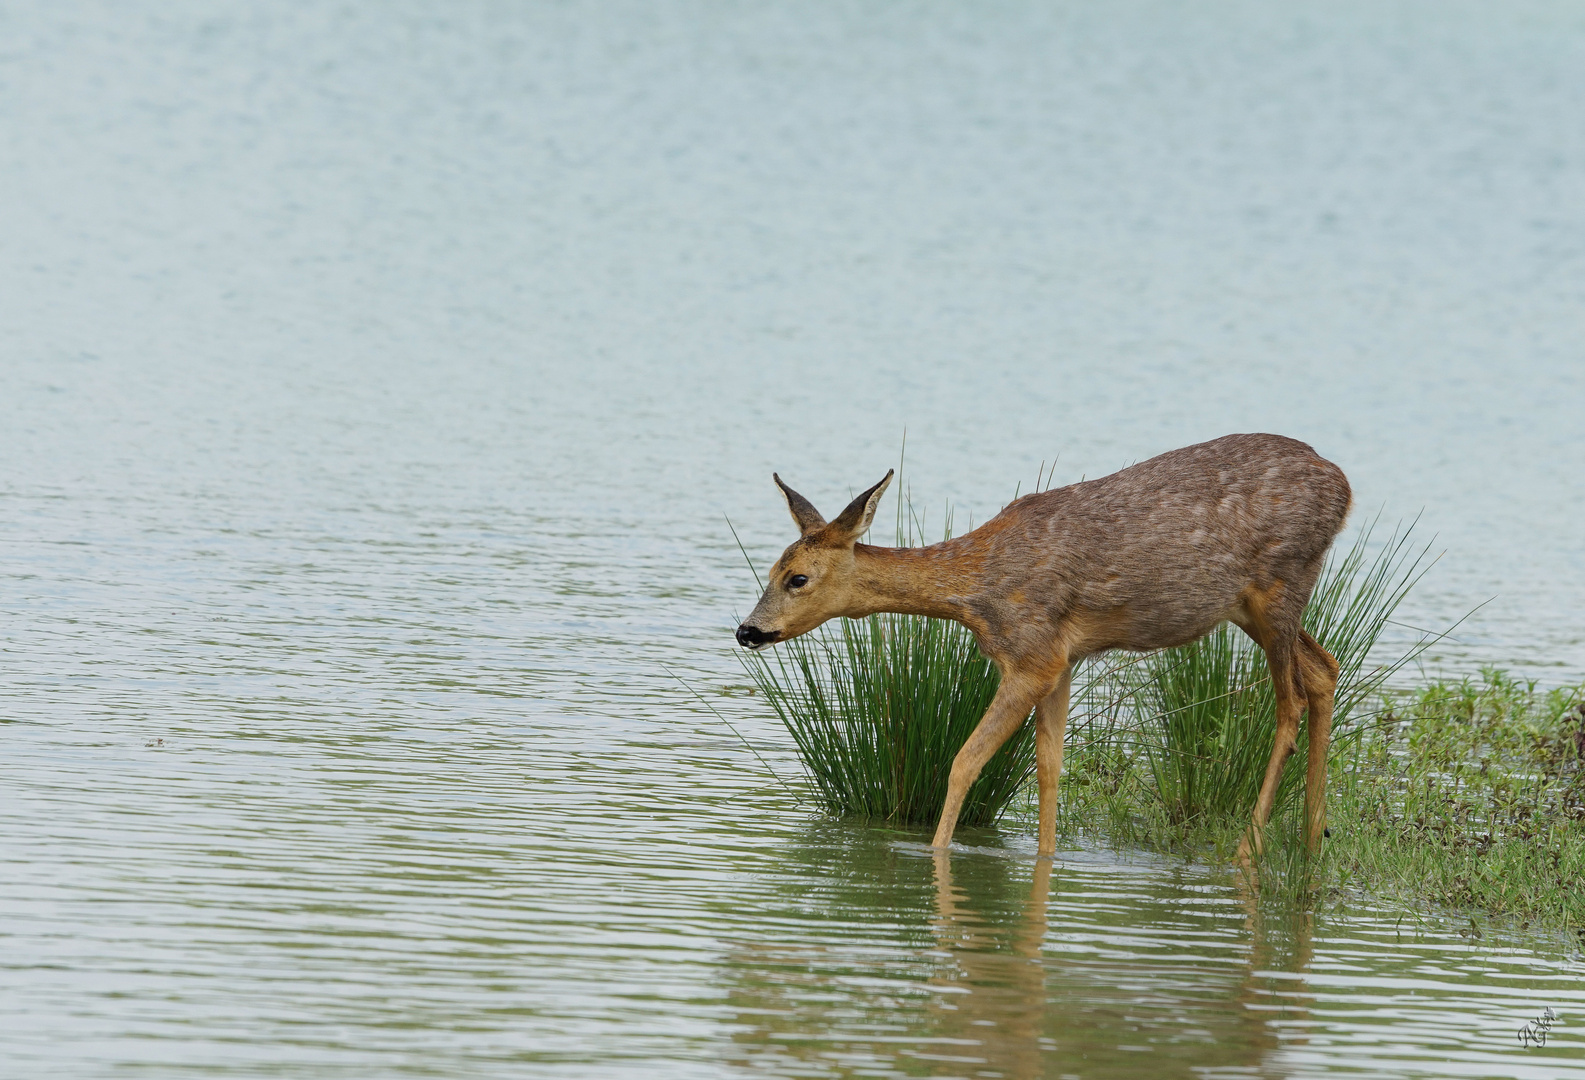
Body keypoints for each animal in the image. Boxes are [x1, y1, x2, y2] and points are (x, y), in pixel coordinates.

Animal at [732, 428, 1350, 856]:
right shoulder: (1063, 660)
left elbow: (964, 761)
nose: (747, 630)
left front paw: (936, 851)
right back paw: (1313, 841)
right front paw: (1046, 861)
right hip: (1251, 609)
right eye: (773, 569)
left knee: (1290, 701)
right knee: (1325, 667)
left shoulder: (1032, 658)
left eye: (797, 578)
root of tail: (1343, 485)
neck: (975, 592)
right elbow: (1051, 770)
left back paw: (1251, 849)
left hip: (1278, 588)